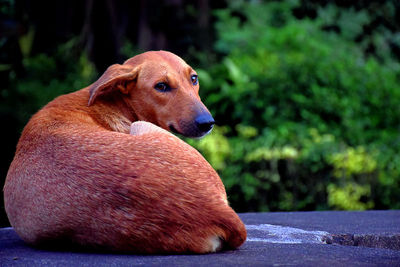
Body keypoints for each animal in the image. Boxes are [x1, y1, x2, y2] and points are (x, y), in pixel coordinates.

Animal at [3, 51, 247, 254]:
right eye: (161, 86)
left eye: (194, 78)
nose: (207, 123)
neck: (112, 101)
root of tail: (218, 210)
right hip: (141, 126)